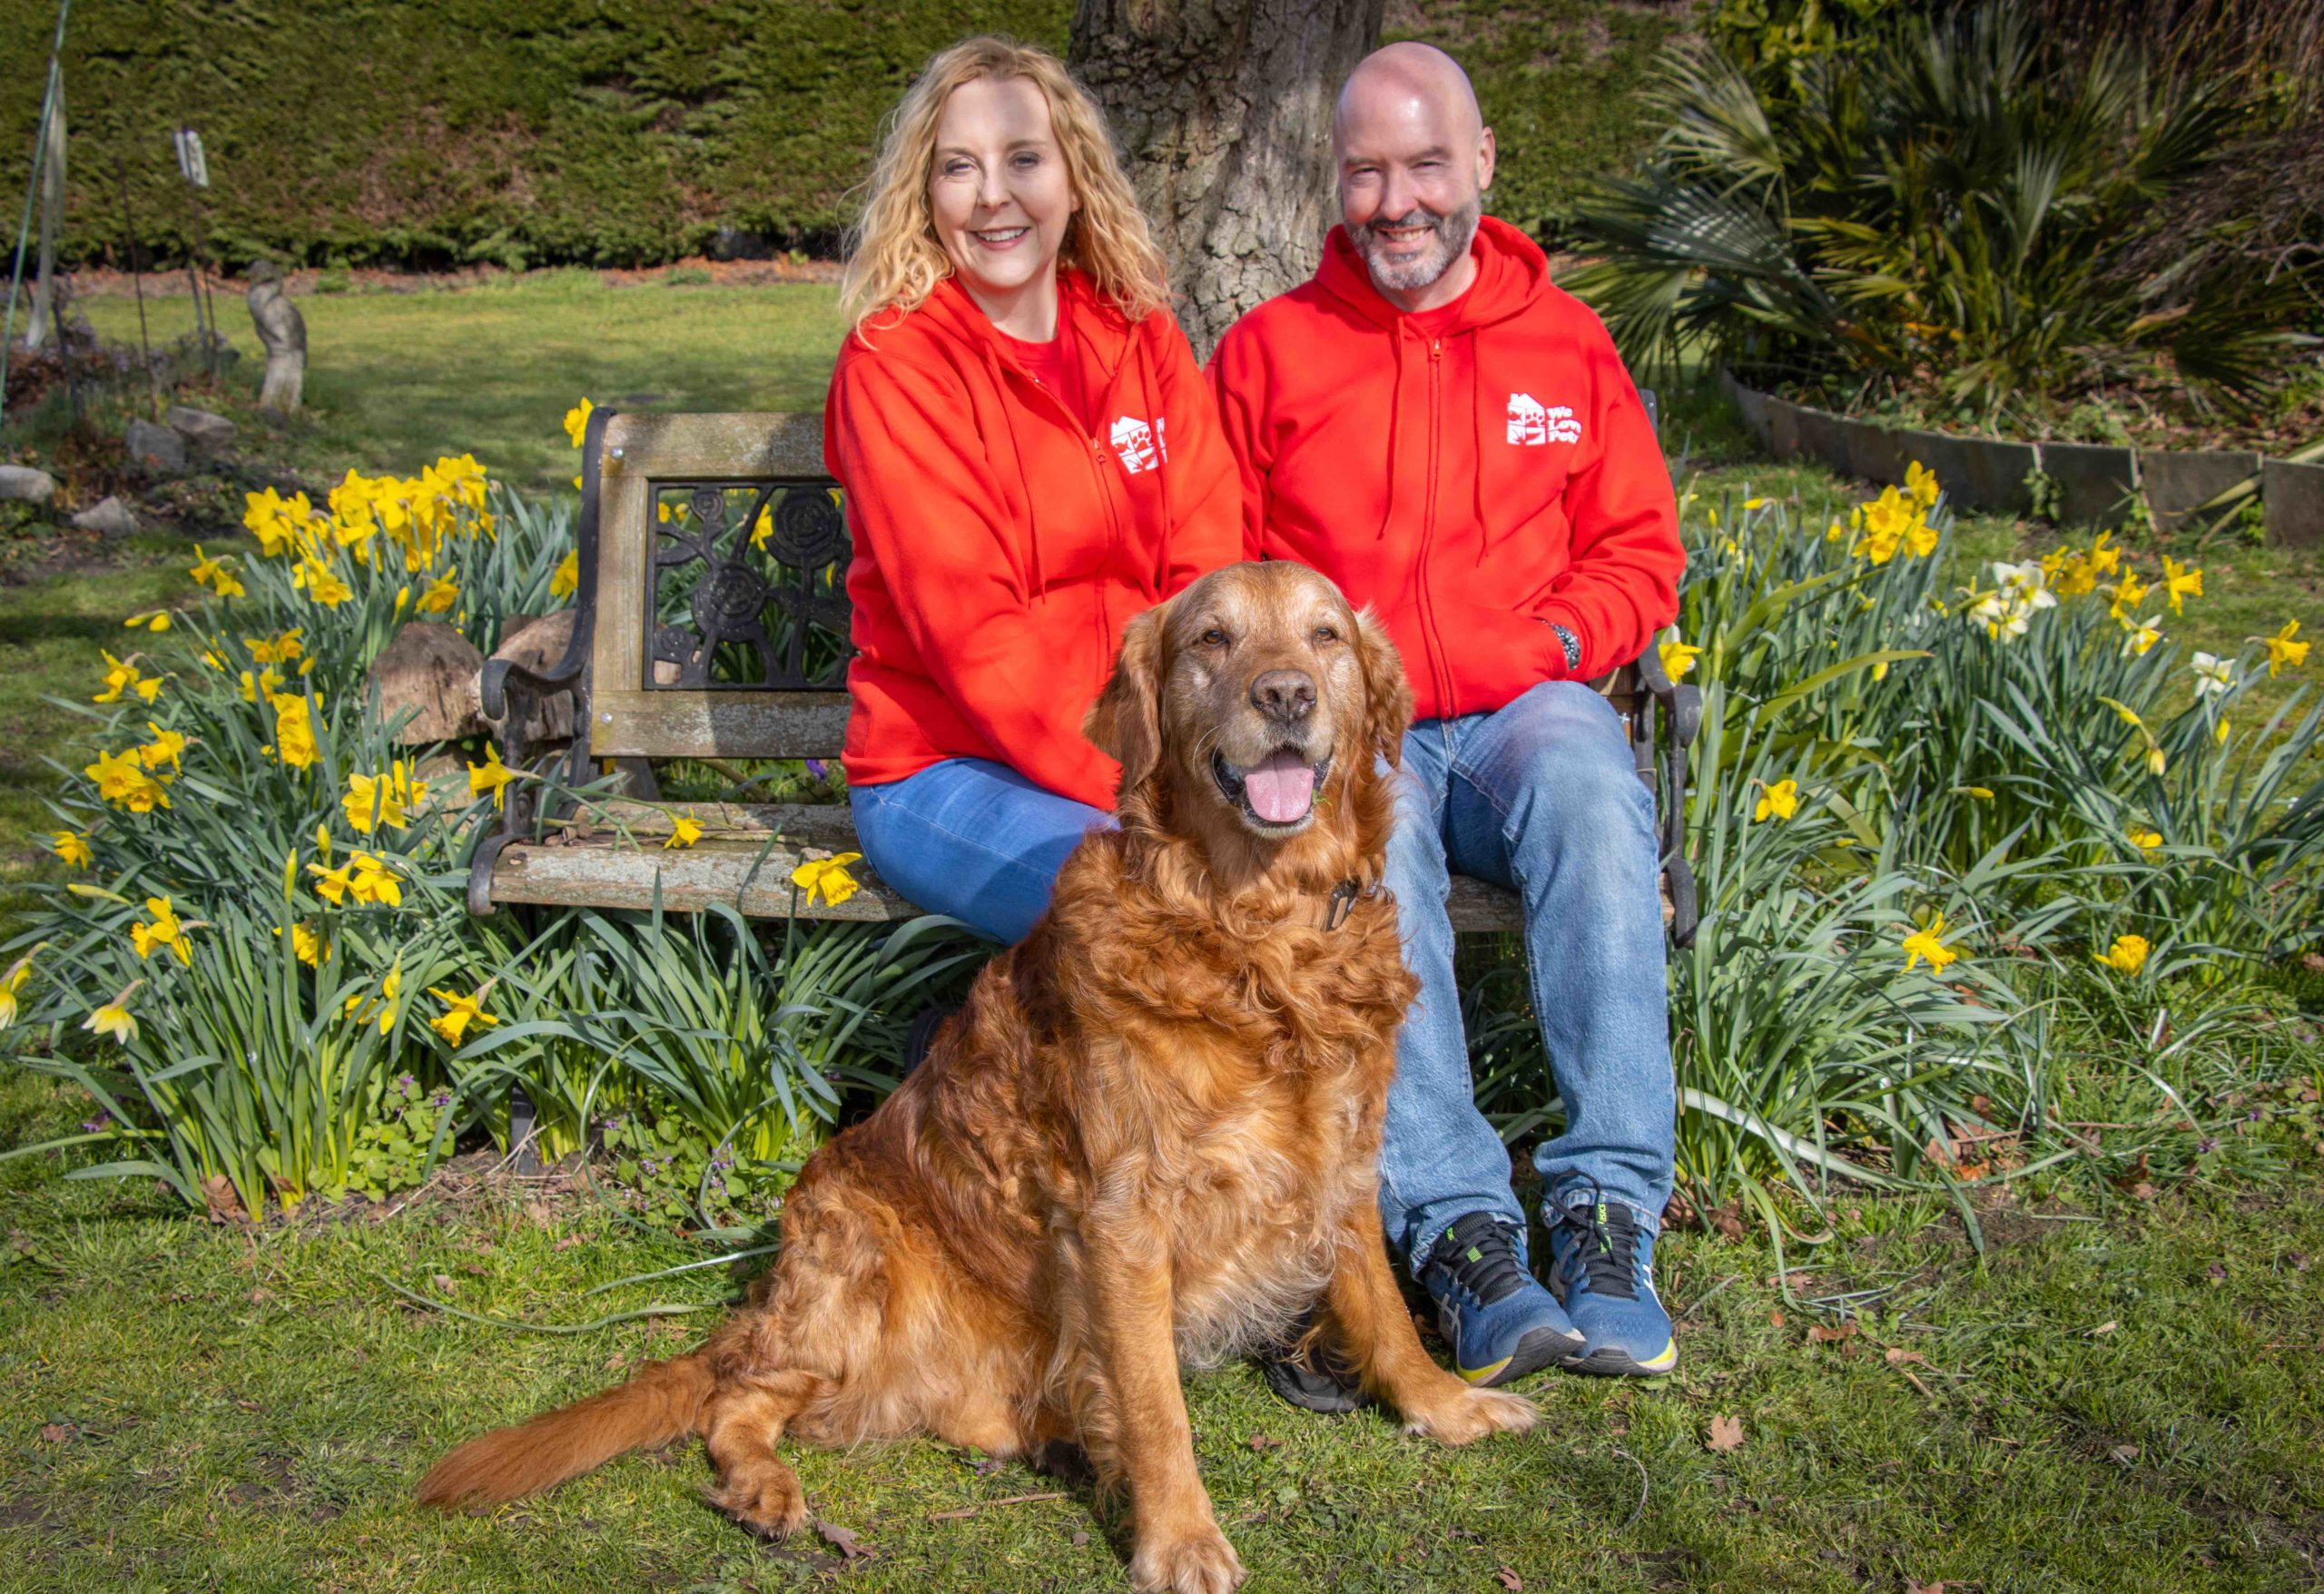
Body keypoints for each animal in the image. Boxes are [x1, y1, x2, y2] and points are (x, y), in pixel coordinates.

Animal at [413, 562, 1542, 1594]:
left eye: (1325, 636)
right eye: (1212, 639)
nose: (1285, 696)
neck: (1254, 931)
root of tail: (770, 1293)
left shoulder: (1338, 1154)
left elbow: (1382, 1308)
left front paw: (1443, 1404)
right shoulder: (1124, 1213)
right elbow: (1157, 1405)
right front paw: (1179, 1537)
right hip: (855, 1268)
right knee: (737, 1395)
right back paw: (768, 1488)